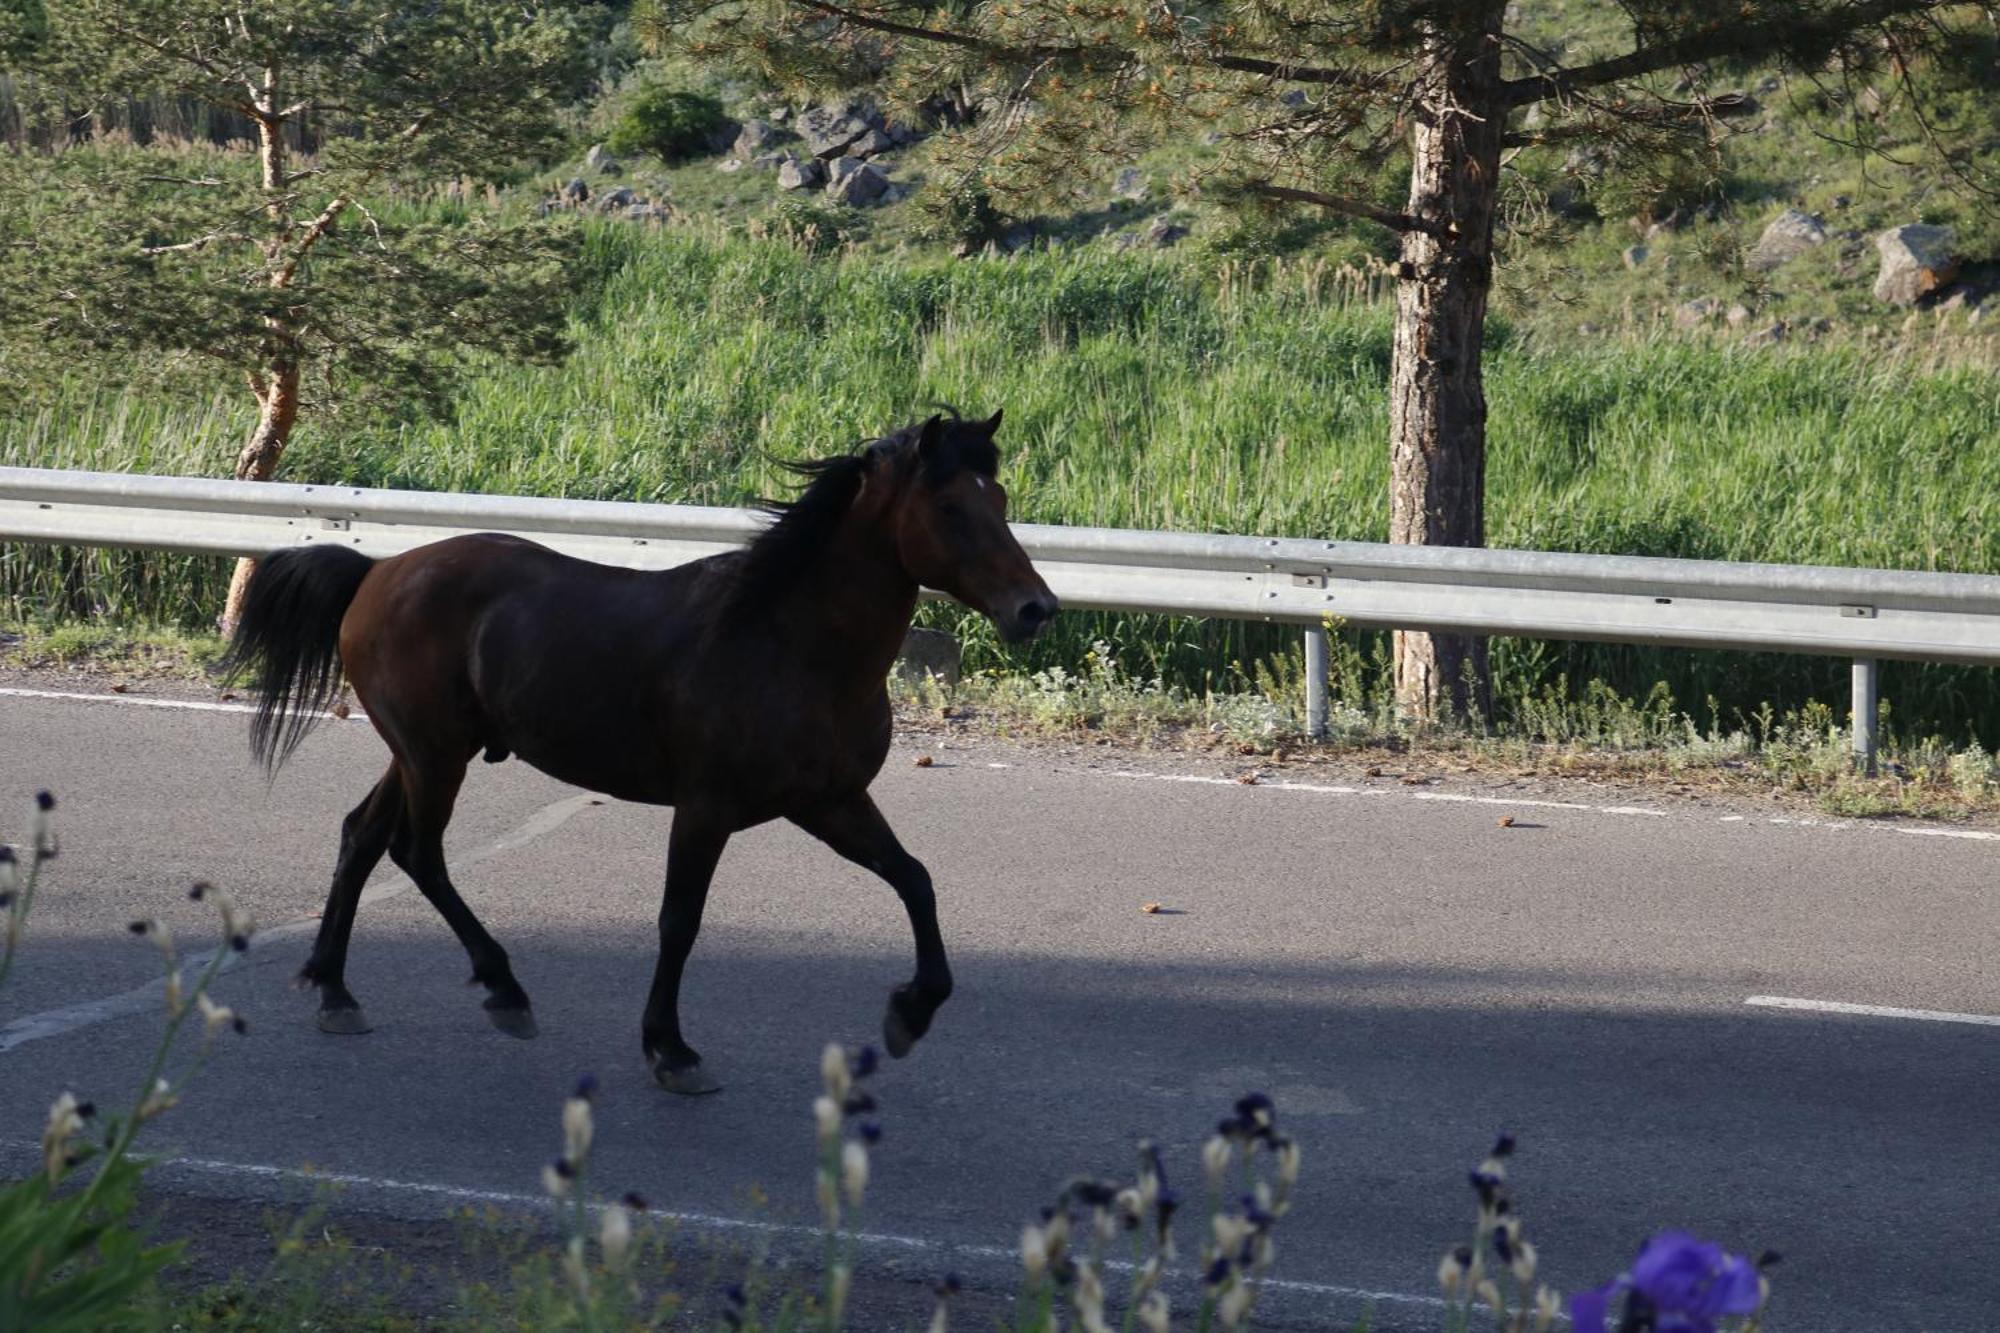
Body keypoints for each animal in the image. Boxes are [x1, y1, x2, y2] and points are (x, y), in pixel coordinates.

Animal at [227, 412, 1056, 1088]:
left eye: (1000, 499)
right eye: (950, 507)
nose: (1036, 608)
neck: (786, 641)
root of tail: (378, 569)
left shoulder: (830, 801)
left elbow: (914, 879)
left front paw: (910, 1012)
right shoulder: (706, 808)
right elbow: (678, 921)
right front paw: (670, 1048)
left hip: (420, 753)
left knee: (362, 835)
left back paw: (335, 990)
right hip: (435, 756)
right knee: (417, 852)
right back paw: (505, 989)